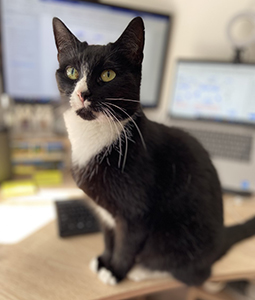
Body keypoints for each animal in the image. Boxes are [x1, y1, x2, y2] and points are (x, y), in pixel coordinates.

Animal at [52, 16, 255, 286]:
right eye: (72, 71)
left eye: (108, 75)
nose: (83, 93)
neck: (94, 139)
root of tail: (221, 239)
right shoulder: (104, 212)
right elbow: (108, 237)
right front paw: (104, 260)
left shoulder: (136, 213)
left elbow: (125, 245)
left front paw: (116, 271)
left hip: (178, 238)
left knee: (194, 274)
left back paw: (143, 270)